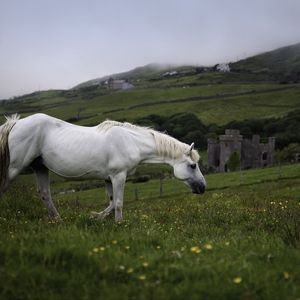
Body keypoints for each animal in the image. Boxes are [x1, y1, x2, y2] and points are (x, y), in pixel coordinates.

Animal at [0, 112, 205, 220]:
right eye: (193, 165)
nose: (203, 187)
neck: (131, 141)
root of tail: (16, 123)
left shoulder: (108, 178)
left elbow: (112, 203)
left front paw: (96, 216)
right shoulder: (118, 176)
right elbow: (119, 203)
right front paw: (119, 224)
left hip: (40, 167)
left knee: (45, 194)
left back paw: (57, 220)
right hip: (15, 167)